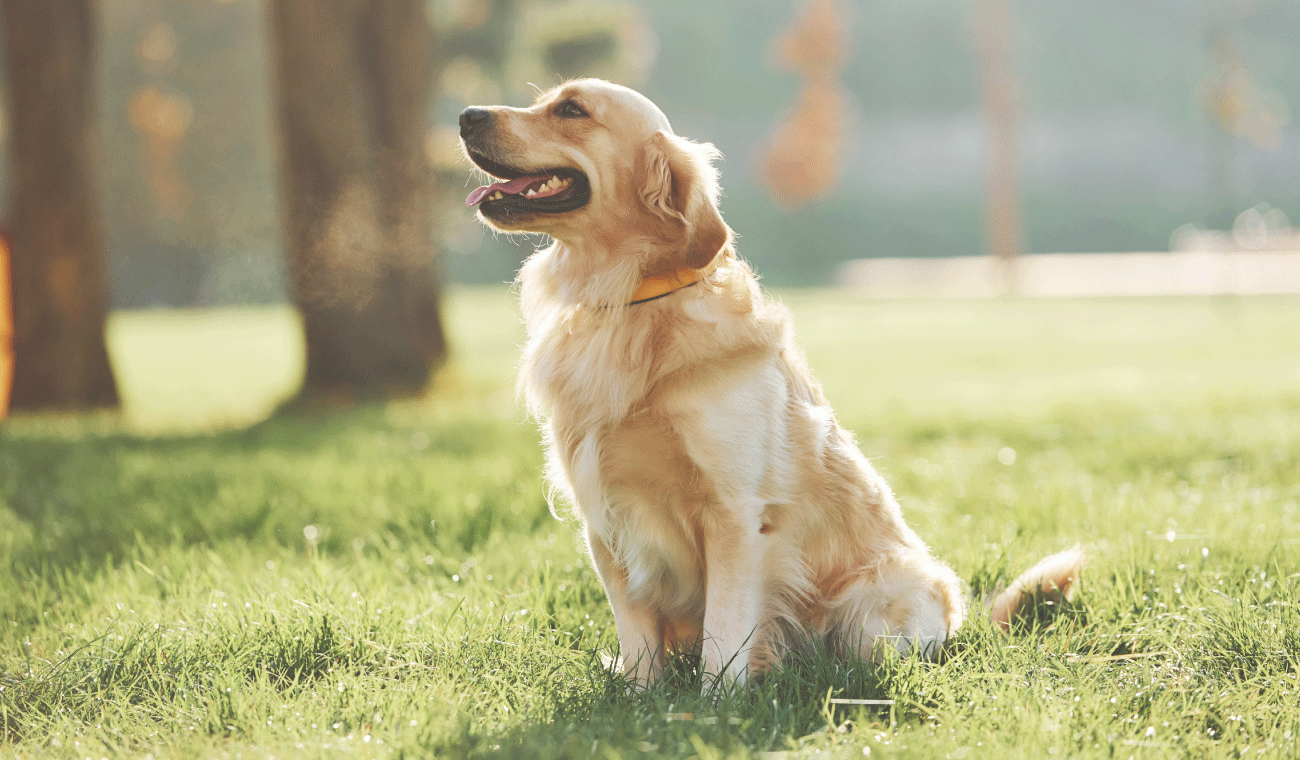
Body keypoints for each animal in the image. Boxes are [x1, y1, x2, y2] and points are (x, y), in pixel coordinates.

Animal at [460, 78, 1086, 685]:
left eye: (572, 110)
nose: (465, 115)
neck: (632, 299)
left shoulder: (734, 513)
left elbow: (724, 637)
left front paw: (714, 703)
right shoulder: (605, 518)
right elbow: (639, 643)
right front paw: (640, 697)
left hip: (879, 609)